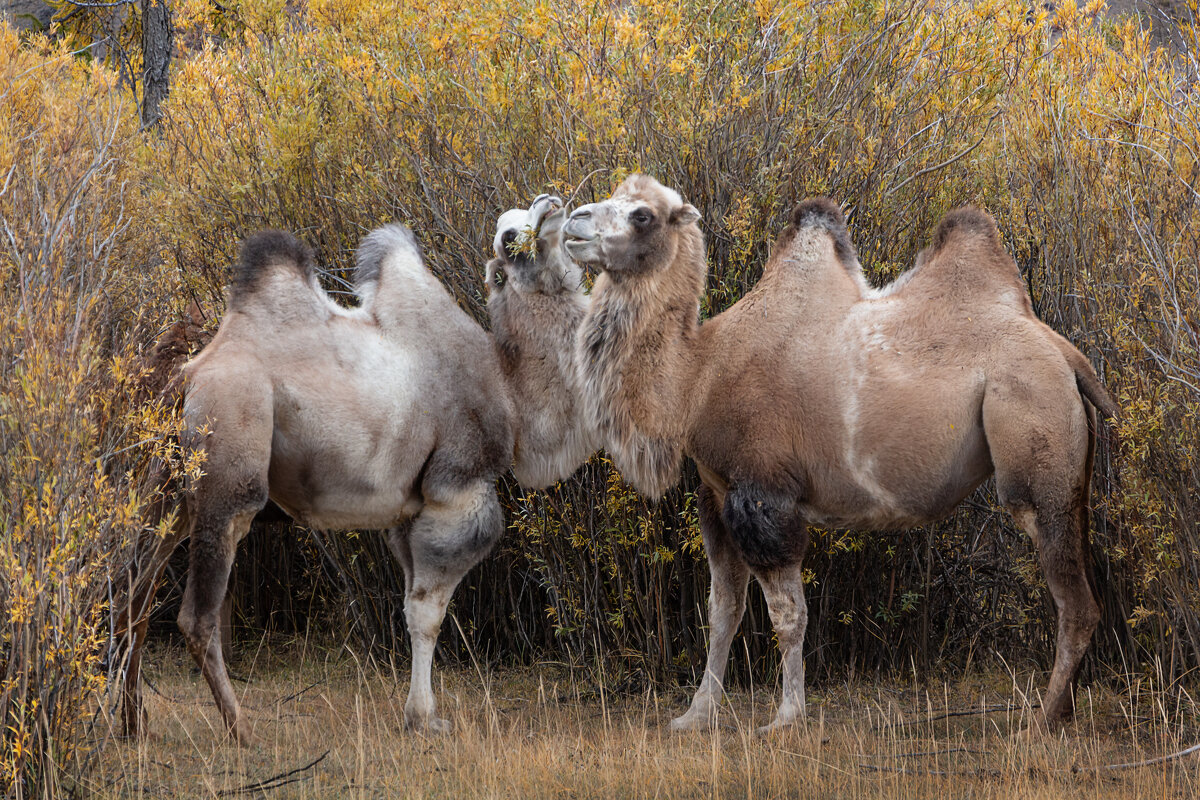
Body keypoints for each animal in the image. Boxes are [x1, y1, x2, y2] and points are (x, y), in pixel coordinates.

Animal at [119, 195, 597, 743]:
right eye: (509, 238)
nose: (551, 203)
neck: (510, 392)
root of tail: (186, 378)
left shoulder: (408, 514)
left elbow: (411, 604)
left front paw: (422, 714)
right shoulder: (457, 490)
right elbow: (427, 613)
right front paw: (423, 719)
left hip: (171, 490)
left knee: (135, 590)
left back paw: (133, 723)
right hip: (230, 466)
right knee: (194, 616)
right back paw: (240, 730)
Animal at [566, 176, 1118, 738]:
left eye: (642, 215)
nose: (573, 222)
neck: (698, 378)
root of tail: (1066, 355)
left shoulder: (765, 494)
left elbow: (789, 615)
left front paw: (785, 718)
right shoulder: (717, 495)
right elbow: (723, 611)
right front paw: (695, 715)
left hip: (1034, 445)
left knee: (1076, 601)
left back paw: (1042, 721)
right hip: (1071, 471)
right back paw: (1060, 710)